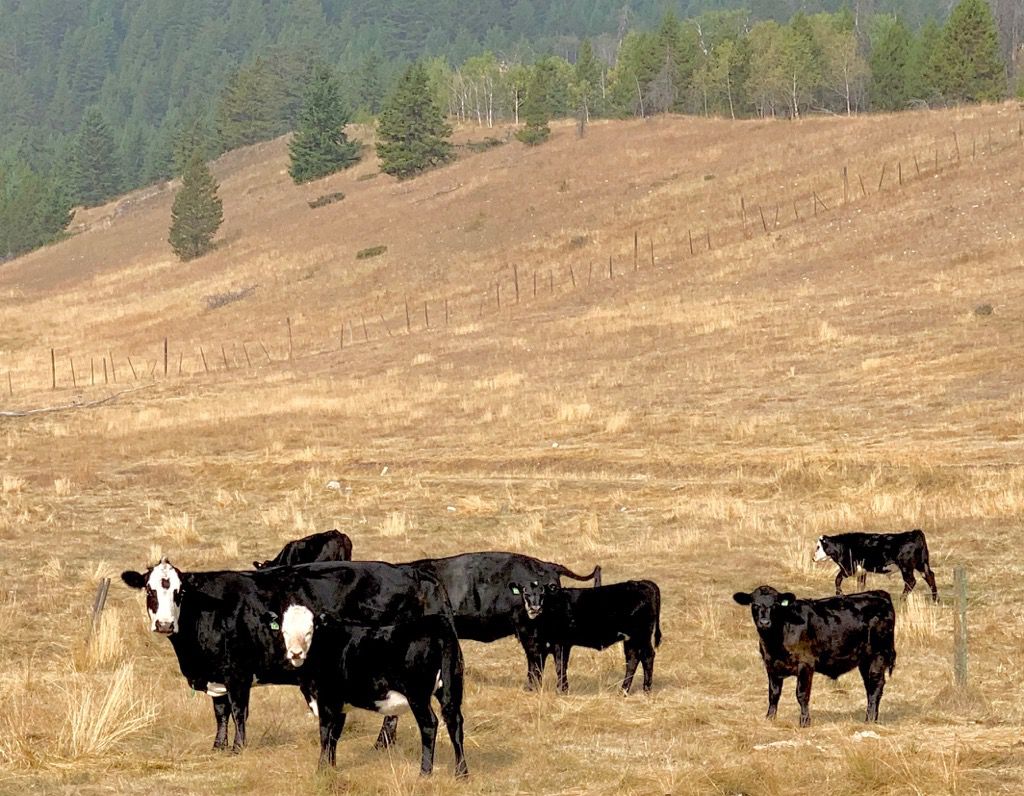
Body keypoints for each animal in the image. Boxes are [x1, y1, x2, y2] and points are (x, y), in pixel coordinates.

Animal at [120, 557, 452, 752]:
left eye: (179, 592)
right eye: (150, 590)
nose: (164, 624)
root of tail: (410, 570)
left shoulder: (238, 673)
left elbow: (238, 711)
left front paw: (238, 748)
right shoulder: (217, 675)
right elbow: (220, 713)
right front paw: (218, 746)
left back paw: (381, 743)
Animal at [279, 607, 468, 776]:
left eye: (309, 631)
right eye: (284, 631)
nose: (295, 653)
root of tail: (436, 622)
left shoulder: (327, 701)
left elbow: (325, 735)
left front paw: (321, 771)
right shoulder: (340, 706)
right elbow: (334, 737)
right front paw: (331, 769)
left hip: (417, 695)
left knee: (429, 725)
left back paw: (424, 773)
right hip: (451, 687)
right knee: (455, 722)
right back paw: (461, 773)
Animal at [507, 579, 662, 694]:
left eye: (543, 592)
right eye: (525, 591)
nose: (535, 608)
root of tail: (642, 582)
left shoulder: (560, 643)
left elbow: (560, 666)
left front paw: (561, 691)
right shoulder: (533, 647)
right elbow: (534, 669)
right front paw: (532, 690)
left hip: (641, 635)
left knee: (647, 656)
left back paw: (646, 690)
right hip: (630, 639)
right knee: (633, 659)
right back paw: (623, 691)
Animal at [732, 586, 897, 727]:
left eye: (776, 605)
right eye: (754, 604)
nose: (765, 622)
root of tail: (878, 593)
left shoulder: (805, 664)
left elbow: (802, 694)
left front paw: (804, 722)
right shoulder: (771, 664)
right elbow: (773, 694)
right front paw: (770, 718)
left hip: (878, 654)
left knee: (875, 686)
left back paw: (870, 720)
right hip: (864, 660)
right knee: (869, 686)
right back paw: (872, 718)